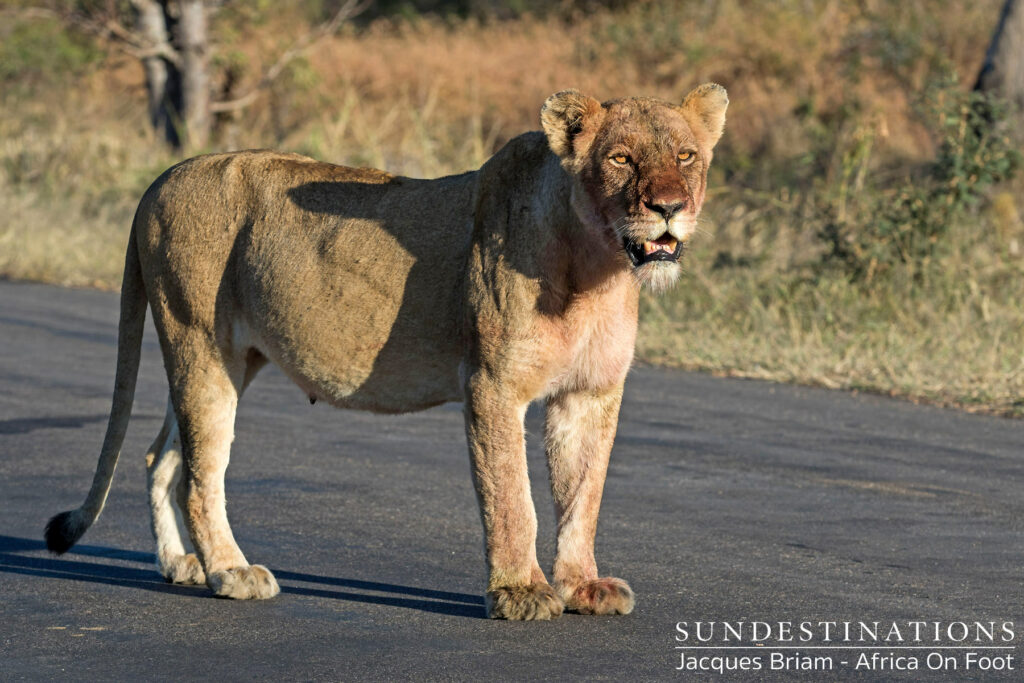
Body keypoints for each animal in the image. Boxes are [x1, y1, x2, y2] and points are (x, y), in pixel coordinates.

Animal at [44, 84, 727, 620]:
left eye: (686, 155)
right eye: (621, 158)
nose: (669, 207)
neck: (597, 268)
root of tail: (162, 179)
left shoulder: (590, 392)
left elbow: (582, 493)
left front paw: (583, 587)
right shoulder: (492, 385)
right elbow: (513, 498)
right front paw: (520, 594)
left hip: (227, 357)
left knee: (161, 455)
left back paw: (180, 564)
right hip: (198, 343)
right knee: (199, 471)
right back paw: (230, 573)